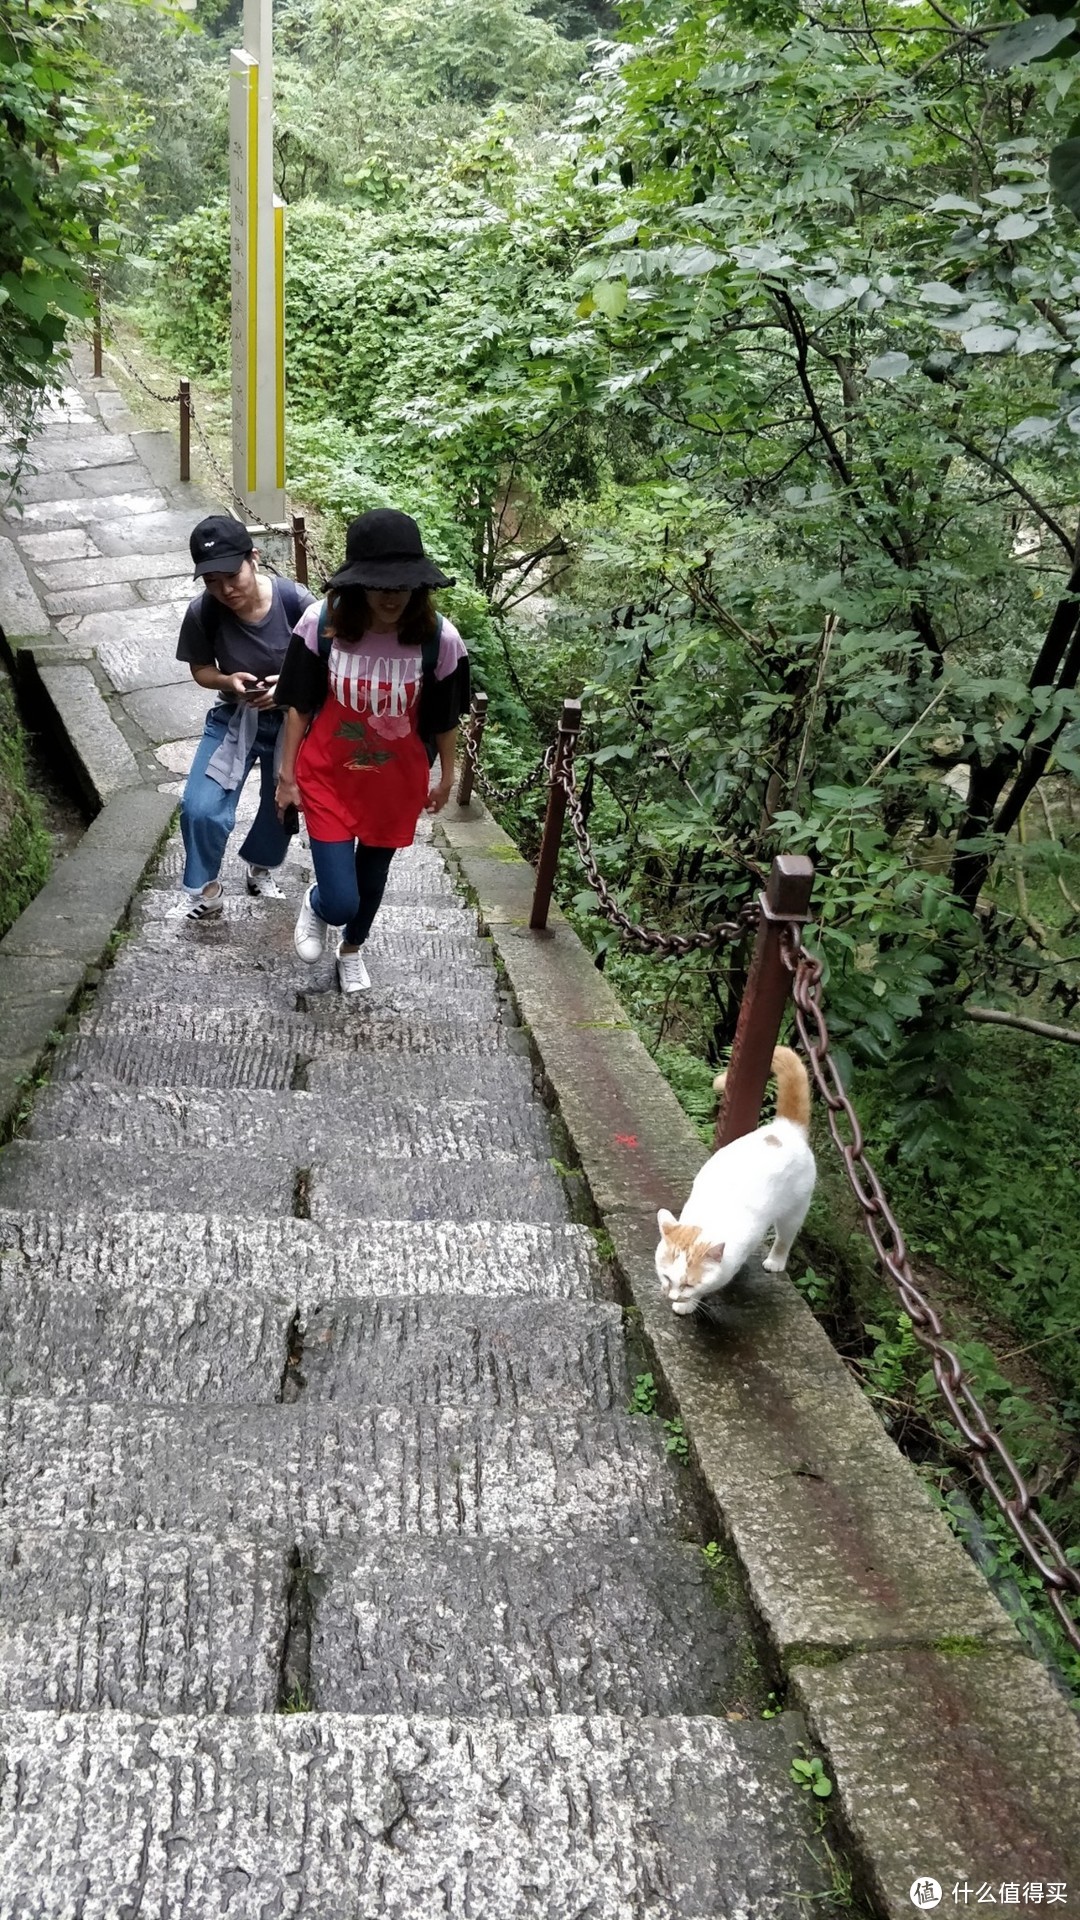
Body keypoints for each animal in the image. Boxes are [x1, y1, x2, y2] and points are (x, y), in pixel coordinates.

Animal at [653, 1044, 810, 1313]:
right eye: (666, 1277)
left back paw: (775, 1261)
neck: (709, 1216)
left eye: (688, 1285)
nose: (671, 1295)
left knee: (785, 1237)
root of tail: (786, 1127)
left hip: (795, 1210)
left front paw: (688, 1304)